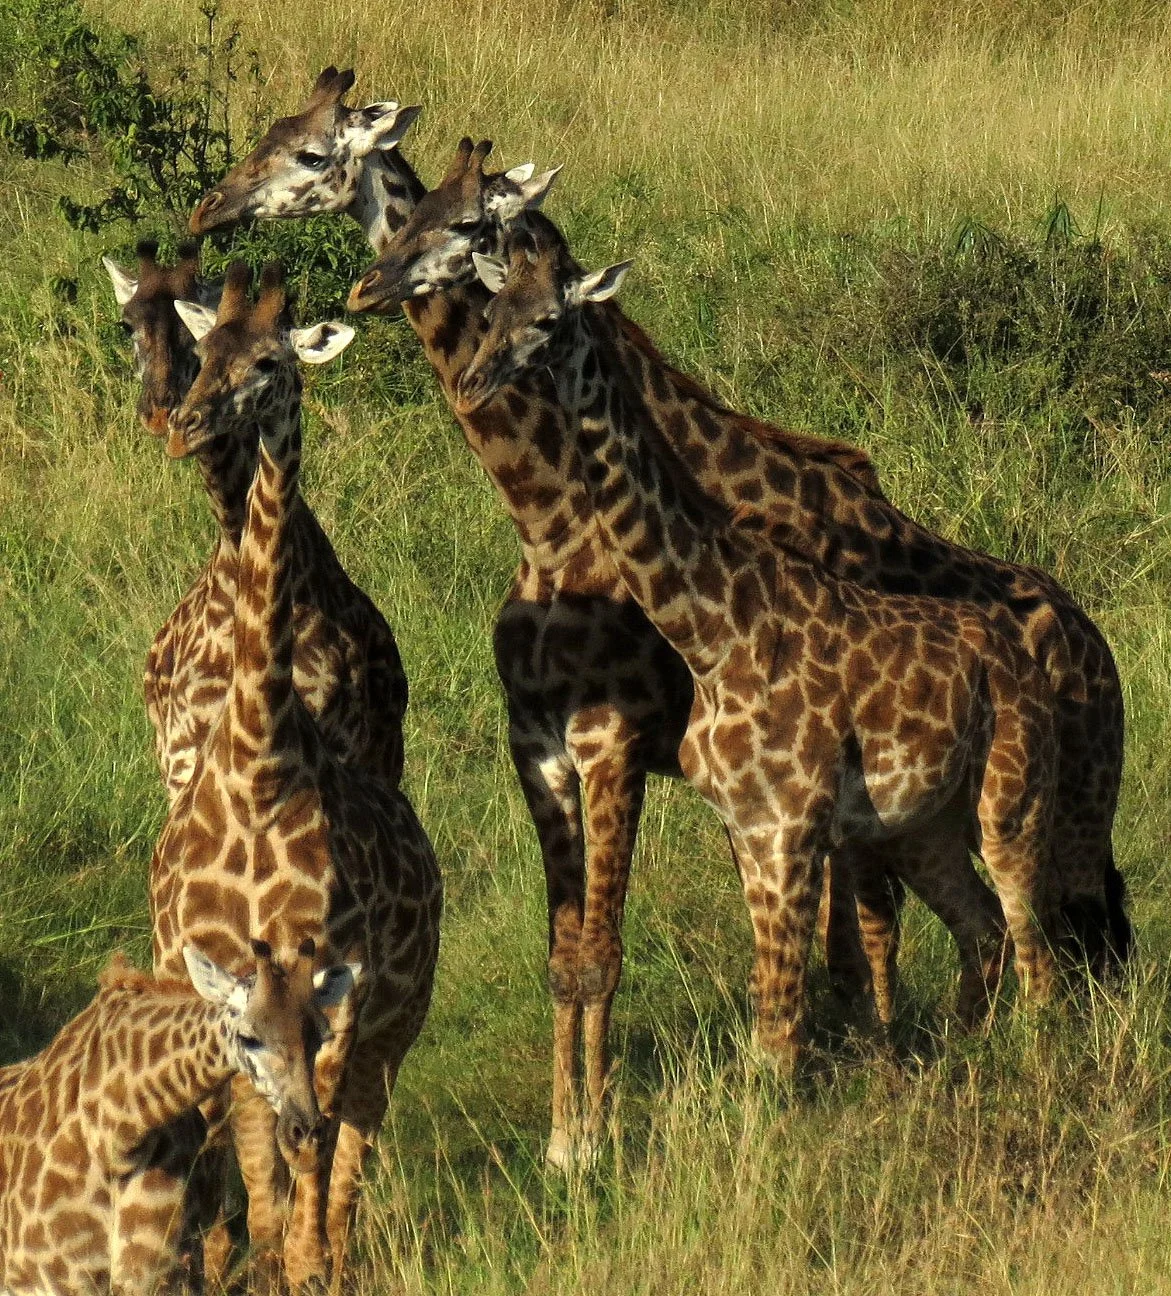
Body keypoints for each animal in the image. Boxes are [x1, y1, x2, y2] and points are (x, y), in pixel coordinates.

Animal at [0, 939, 357, 1296]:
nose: (305, 1138)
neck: (118, 1133)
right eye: (248, 1037)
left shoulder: (156, 1275)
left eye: (321, 1038)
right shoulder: (42, 1279)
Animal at [151, 262, 441, 1292]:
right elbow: (247, 1125)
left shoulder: (333, 985)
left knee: (356, 1120)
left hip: (398, 1012)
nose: (188, 420)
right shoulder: (220, 983)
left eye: (271, 364)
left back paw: (334, 1251)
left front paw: (304, 1259)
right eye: (206, 349)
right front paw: (261, 1250)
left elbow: (309, 1131)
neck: (259, 766)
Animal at [457, 229, 1063, 1069]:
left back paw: (1035, 1064)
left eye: (547, 319)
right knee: (983, 927)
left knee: (1035, 948)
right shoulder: (745, 824)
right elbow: (765, 1008)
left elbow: (781, 1023)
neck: (712, 634)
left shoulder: (793, 822)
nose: (474, 381)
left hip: (1010, 800)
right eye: (490, 311)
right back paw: (957, 1058)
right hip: (922, 826)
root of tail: (1025, 657)